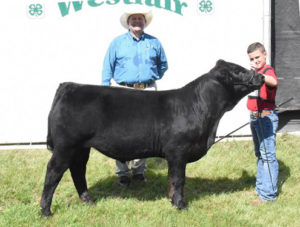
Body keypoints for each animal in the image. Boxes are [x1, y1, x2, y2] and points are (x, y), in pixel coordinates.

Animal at [40, 60, 264, 216]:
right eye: (239, 70)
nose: (261, 77)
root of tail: (70, 86)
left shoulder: (174, 154)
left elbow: (172, 180)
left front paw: (172, 201)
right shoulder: (178, 150)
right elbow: (178, 179)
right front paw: (181, 205)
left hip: (81, 148)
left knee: (78, 171)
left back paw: (88, 201)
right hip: (66, 146)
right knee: (53, 173)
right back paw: (46, 211)